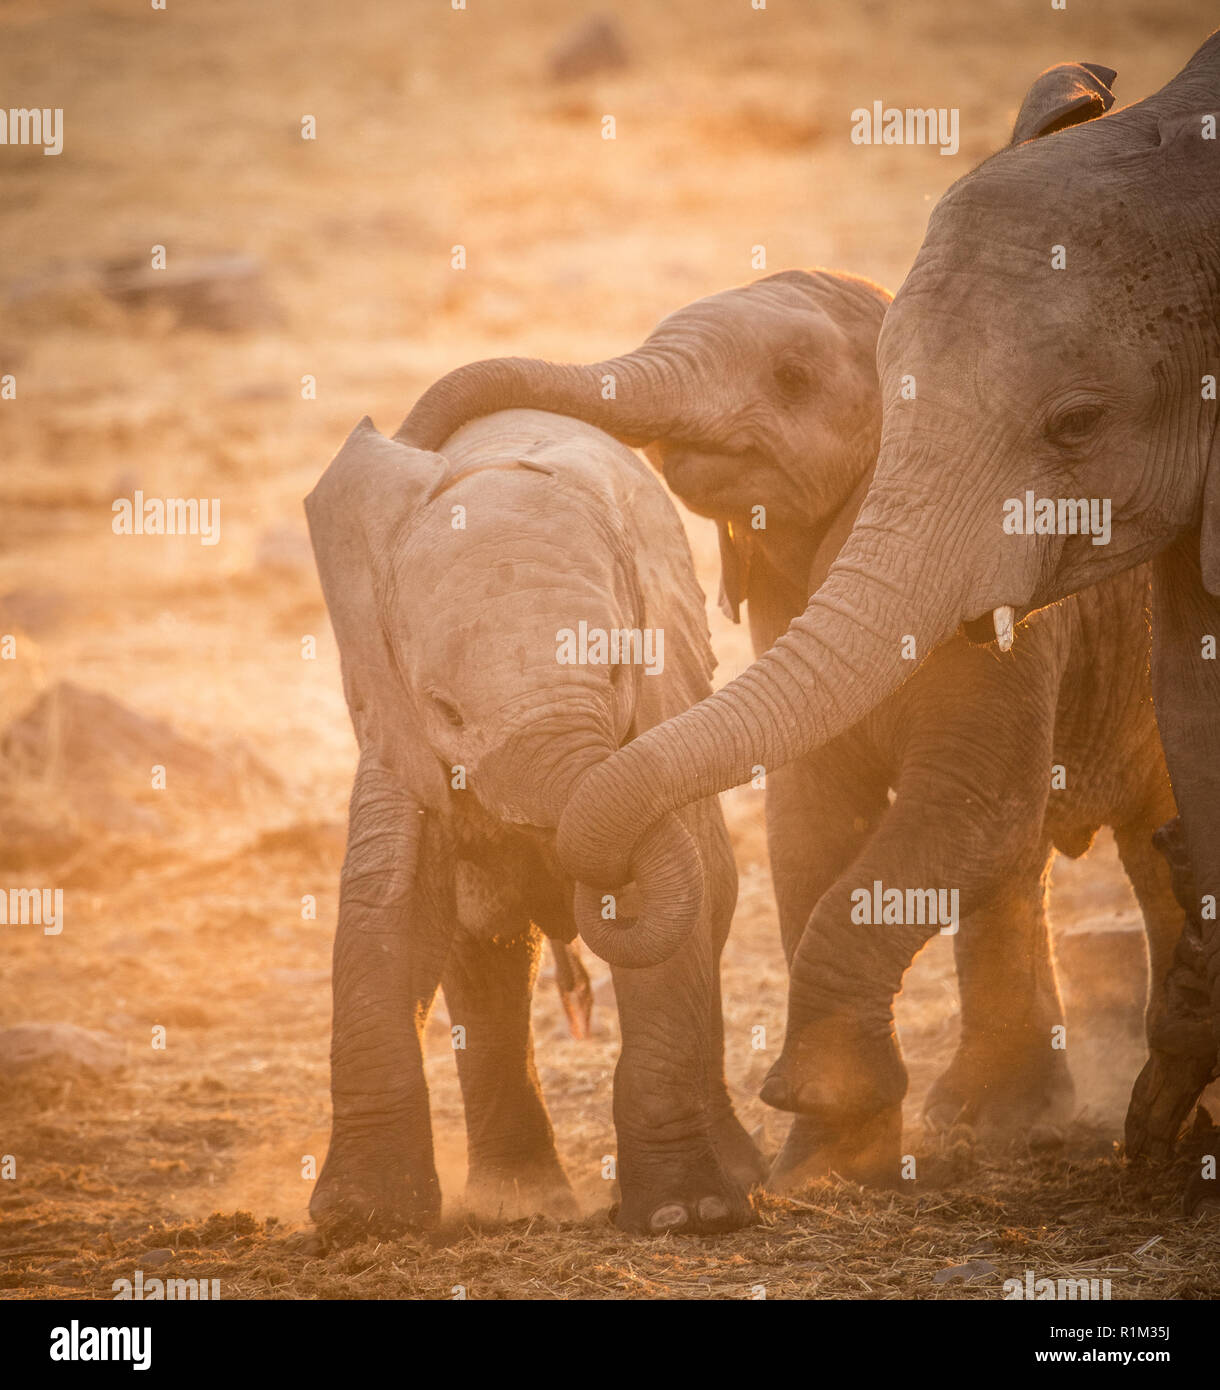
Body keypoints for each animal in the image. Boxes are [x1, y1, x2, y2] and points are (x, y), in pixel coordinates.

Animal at [305, 405, 767, 1239]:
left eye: (616, 668)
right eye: (446, 710)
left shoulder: (656, 713)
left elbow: (673, 930)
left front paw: (687, 1213)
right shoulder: (392, 728)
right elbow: (387, 911)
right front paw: (361, 1220)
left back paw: (733, 1180)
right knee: (483, 957)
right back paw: (518, 1202)